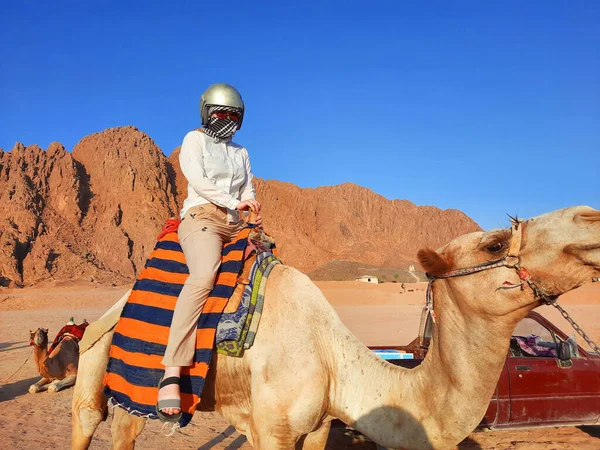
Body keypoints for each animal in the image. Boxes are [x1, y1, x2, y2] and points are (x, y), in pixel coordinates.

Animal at [71, 207, 600, 450]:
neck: (335, 360)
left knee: (126, 427)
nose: (590, 216)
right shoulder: (273, 429)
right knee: (88, 417)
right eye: (495, 244)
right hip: (96, 356)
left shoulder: (319, 425)